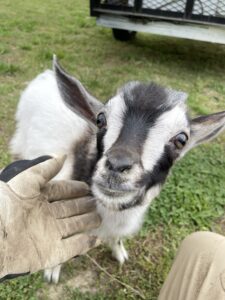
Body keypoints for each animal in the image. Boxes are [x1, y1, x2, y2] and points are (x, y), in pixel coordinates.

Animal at [10, 56, 225, 284]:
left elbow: (116, 238)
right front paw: (53, 270)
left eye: (181, 140)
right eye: (100, 119)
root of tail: (46, 75)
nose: (117, 166)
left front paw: (119, 253)